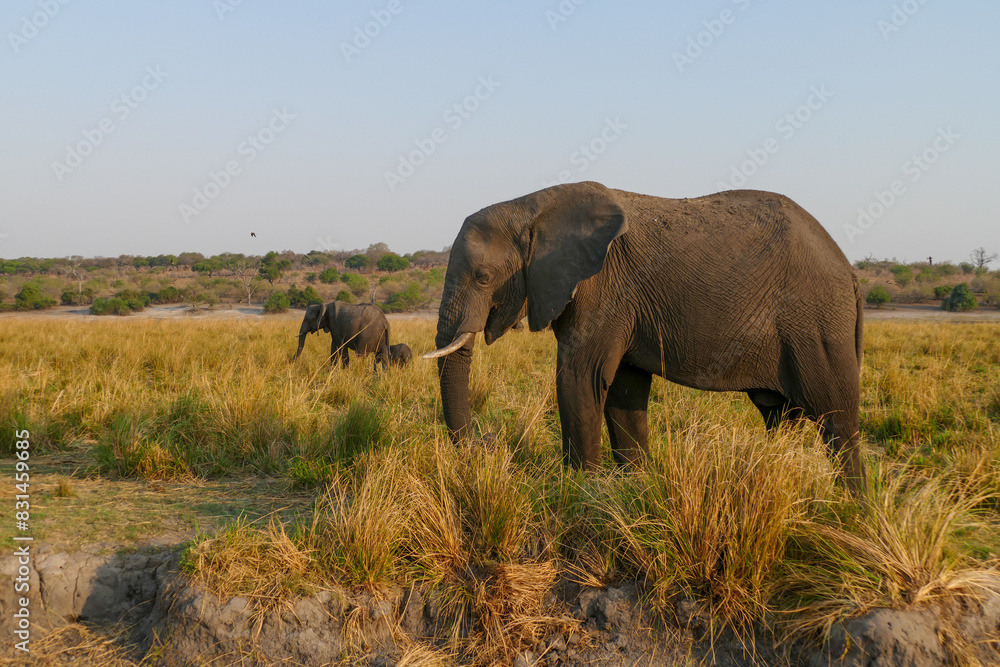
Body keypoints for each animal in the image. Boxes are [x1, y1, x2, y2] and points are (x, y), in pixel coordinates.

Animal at [425, 181, 866, 494]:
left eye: (483, 277)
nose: (484, 443)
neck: (530, 207)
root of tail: (849, 269)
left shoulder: (603, 287)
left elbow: (581, 379)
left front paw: (576, 491)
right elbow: (623, 390)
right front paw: (630, 488)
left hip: (816, 324)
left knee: (836, 419)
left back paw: (850, 508)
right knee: (780, 414)